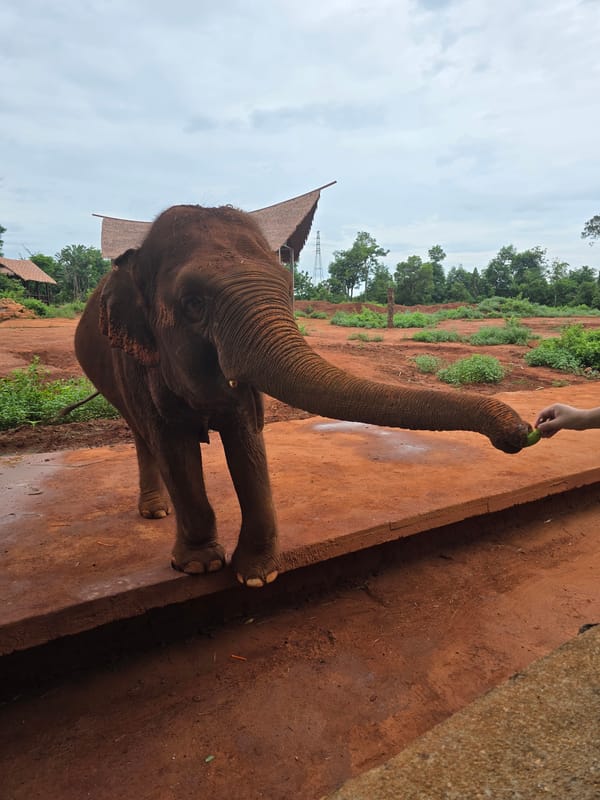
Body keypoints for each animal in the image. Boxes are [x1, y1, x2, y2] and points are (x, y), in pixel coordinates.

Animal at [75, 204, 531, 588]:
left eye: (288, 291)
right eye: (193, 303)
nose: (519, 430)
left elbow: (247, 440)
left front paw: (258, 576)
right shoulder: (136, 361)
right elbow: (174, 446)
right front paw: (200, 566)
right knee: (143, 433)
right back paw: (156, 511)